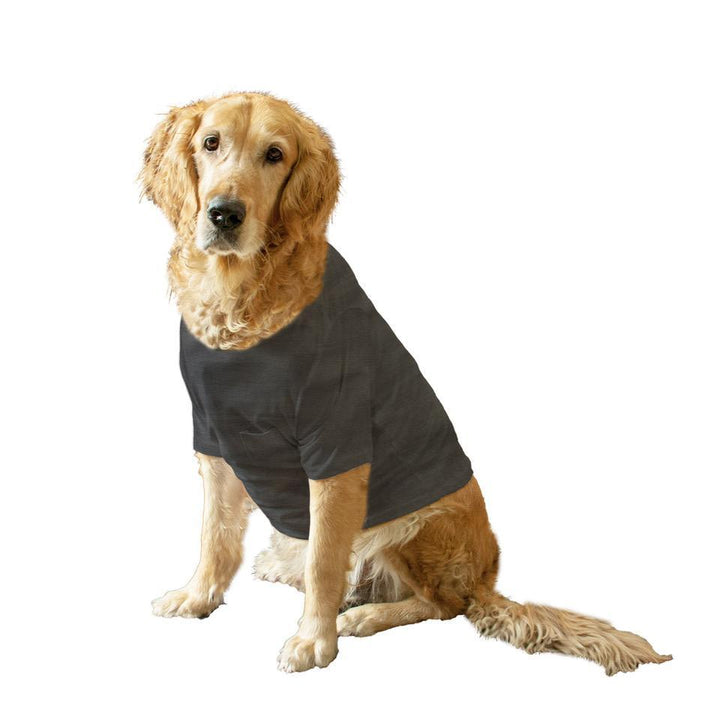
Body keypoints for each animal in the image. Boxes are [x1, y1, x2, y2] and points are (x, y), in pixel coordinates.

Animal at [140, 91, 671, 674]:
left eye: (274, 154)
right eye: (210, 143)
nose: (224, 214)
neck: (240, 307)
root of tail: (486, 579)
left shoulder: (336, 448)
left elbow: (324, 561)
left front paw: (314, 641)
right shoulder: (213, 437)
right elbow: (215, 536)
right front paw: (197, 598)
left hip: (415, 524)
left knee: (441, 604)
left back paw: (363, 616)